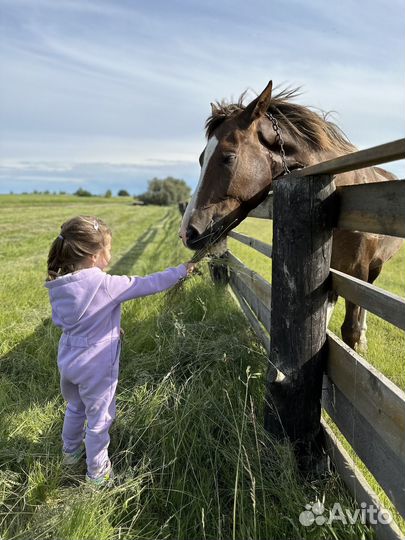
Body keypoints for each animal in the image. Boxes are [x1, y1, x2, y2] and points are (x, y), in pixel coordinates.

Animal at [179, 79, 400, 350]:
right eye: (202, 159)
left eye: (228, 157)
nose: (187, 232)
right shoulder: (330, 274)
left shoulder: (356, 273)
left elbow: (350, 330)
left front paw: (356, 342)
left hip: (374, 266)